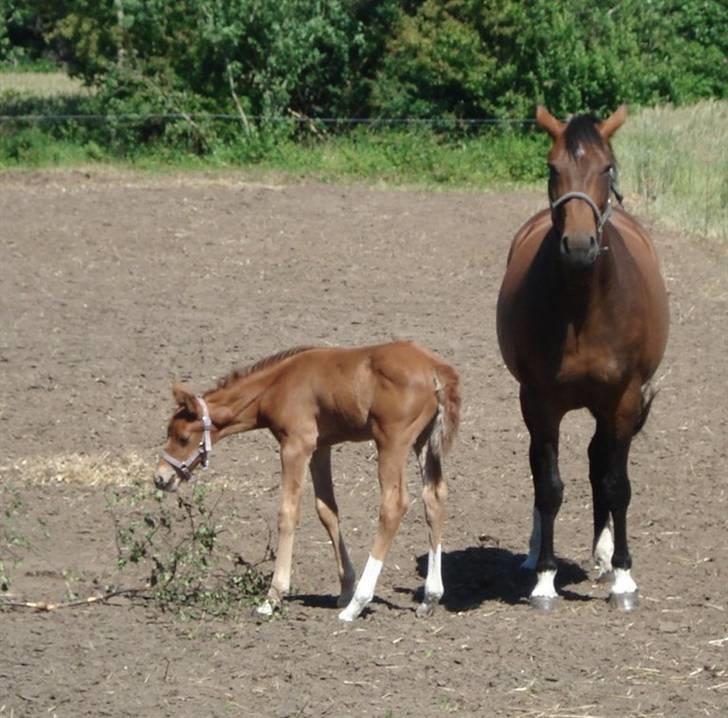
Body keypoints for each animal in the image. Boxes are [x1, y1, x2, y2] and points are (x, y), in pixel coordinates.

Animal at [155, 340, 460, 620]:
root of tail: (436, 368)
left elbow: (287, 514)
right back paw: (429, 598)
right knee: (434, 498)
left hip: (392, 441)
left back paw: (357, 604)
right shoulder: (320, 447)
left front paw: (272, 598)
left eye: (183, 438)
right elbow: (327, 511)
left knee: (393, 506)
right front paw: (345, 588)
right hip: (424, 440)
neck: (277, 385)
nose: (161, 477)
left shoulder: (295, 445)